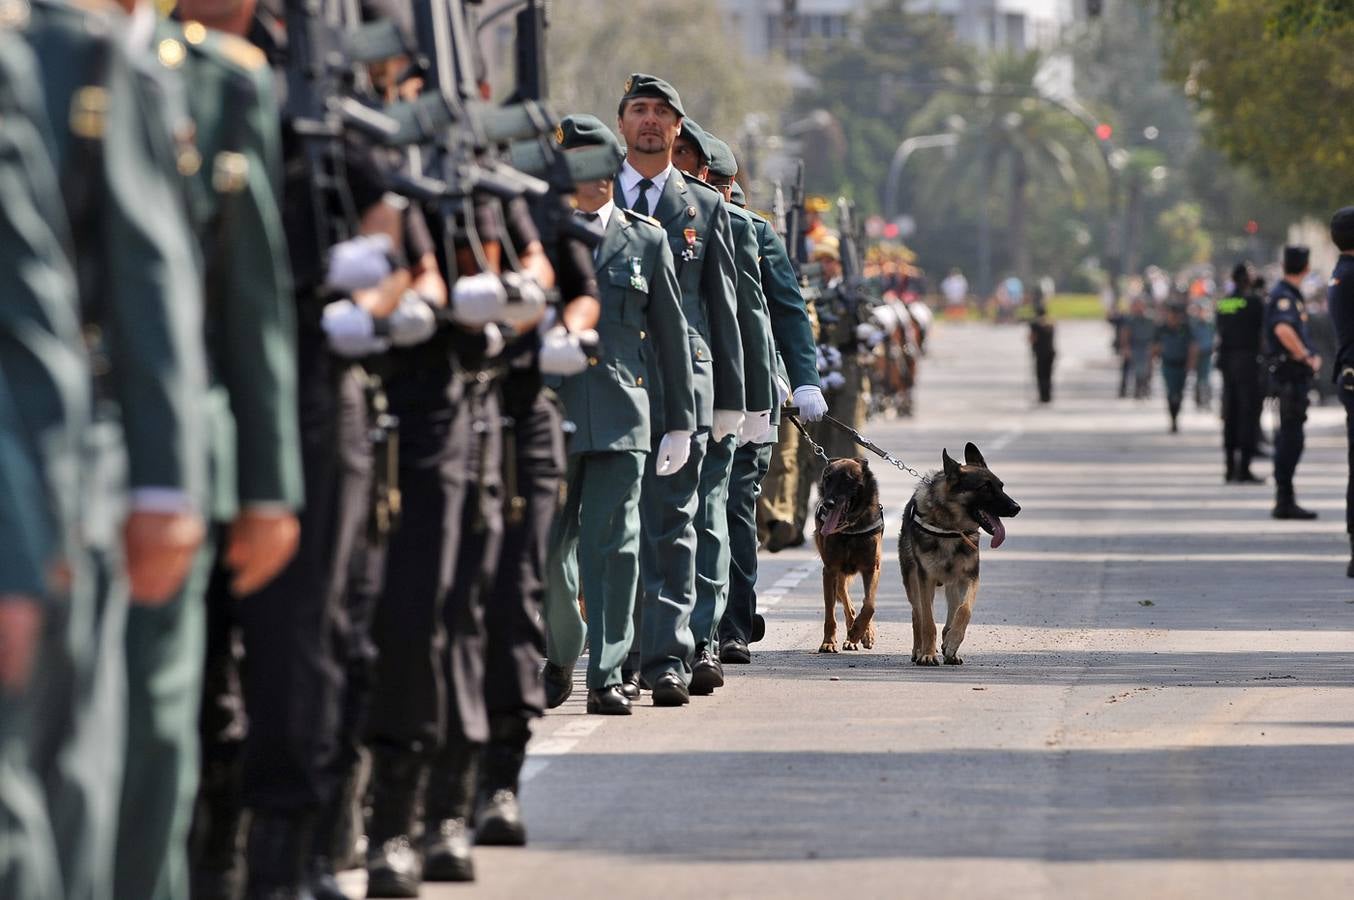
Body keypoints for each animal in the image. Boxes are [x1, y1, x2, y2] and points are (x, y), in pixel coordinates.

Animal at [812, 460, 888, 649]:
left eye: (847, 480)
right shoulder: (830, 570)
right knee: (847, 602)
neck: (851, 529)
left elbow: (869, 604)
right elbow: (830, 613)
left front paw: (860, 632)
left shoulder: (872, 568)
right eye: (827, 479)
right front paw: (828, 642)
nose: (828, 503)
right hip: (838, 575)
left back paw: (860, 634)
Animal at [899, 443, 1018, 665]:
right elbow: (928, 621)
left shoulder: (970, 578)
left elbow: (964, 611)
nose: (1017, 508)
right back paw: (918, 650)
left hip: (953, 585)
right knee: (917, 615)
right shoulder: (925, 580)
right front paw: (928, 654)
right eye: (985, 487)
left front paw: (953, 643)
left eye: (1001, 486)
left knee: (952, 613)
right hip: (913, 583)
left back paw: (949, 648)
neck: (950, 528)